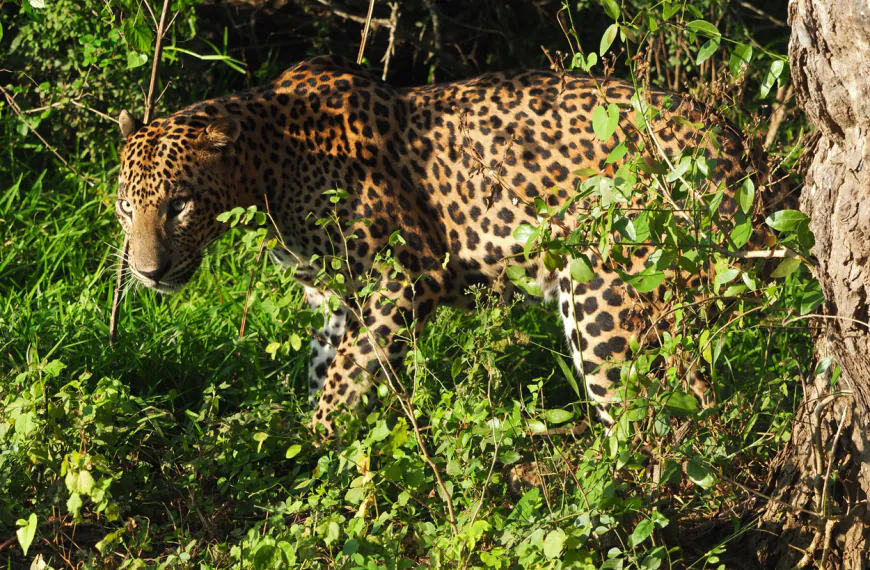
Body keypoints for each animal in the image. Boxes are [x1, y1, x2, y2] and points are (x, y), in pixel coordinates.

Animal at [117, 54, 784, 434]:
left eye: (179, 205)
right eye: (126, 207)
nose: (149, 273)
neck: (267, 164)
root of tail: (727, 142)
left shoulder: (406, 274)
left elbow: (343, 378)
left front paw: (320, 446)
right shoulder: (338, 300)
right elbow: (323, 366)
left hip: (608, 299)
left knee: (657, 416)